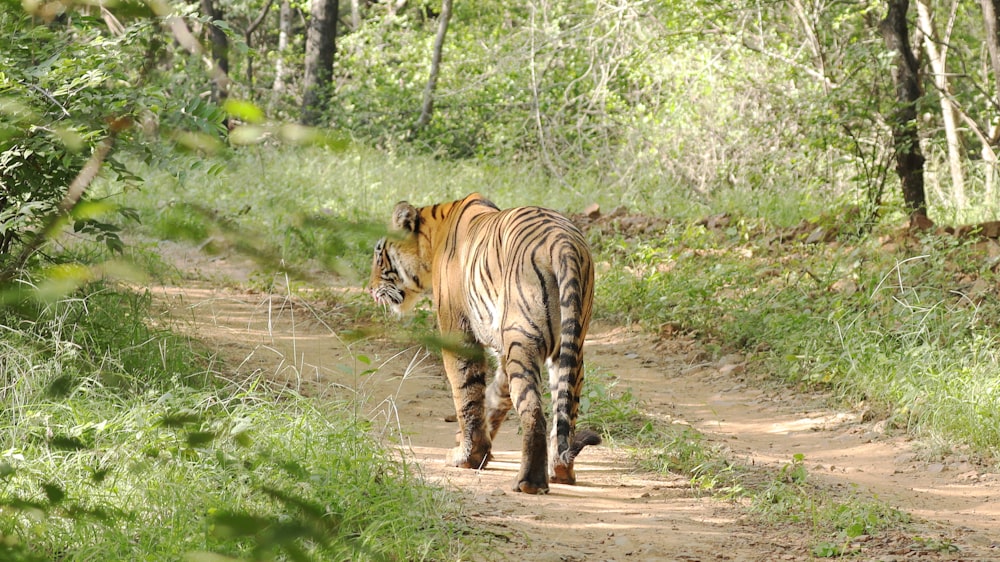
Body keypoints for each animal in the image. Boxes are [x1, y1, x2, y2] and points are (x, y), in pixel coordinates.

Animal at [370, 194, 596, 494]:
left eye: (379, 255)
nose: (370, 289)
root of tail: (564, 243)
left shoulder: (457, 330)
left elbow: (467, 393)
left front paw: (467, 456)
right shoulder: (502, 348)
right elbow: (495, 395)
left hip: (524, 339)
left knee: (534, 411)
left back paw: (529, 482)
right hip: (570, 348)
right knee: (564, 413)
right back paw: (561, 472)